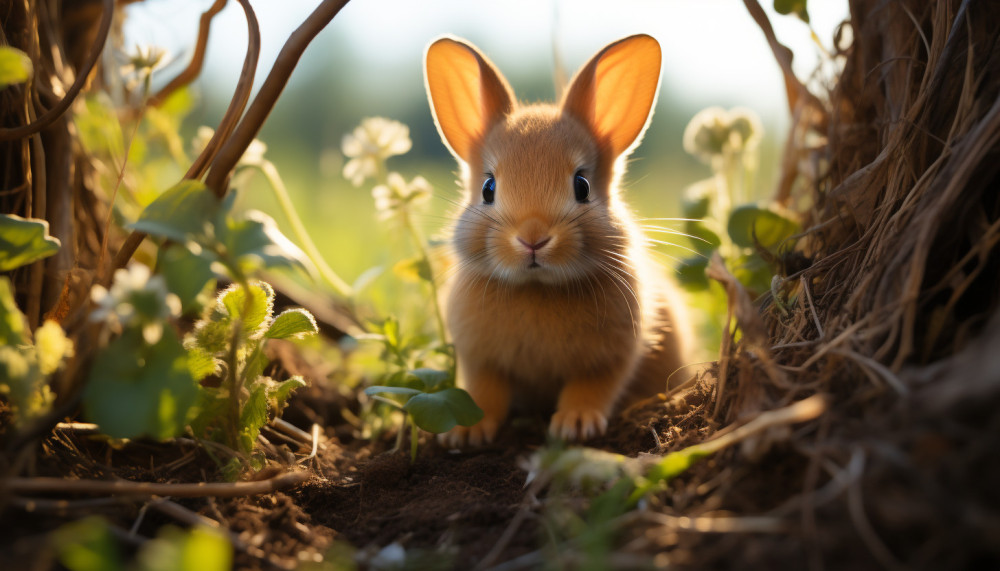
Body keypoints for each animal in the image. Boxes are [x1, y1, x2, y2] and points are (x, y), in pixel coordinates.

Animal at [424, 33, 690, 446]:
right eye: (488, 189)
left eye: (582, 186)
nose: (532, 238)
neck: (538, 288)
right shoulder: (480, 360)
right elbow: (486, 393)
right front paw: (468, 433)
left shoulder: (609, 360)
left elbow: (591, 389)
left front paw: (575, 425)